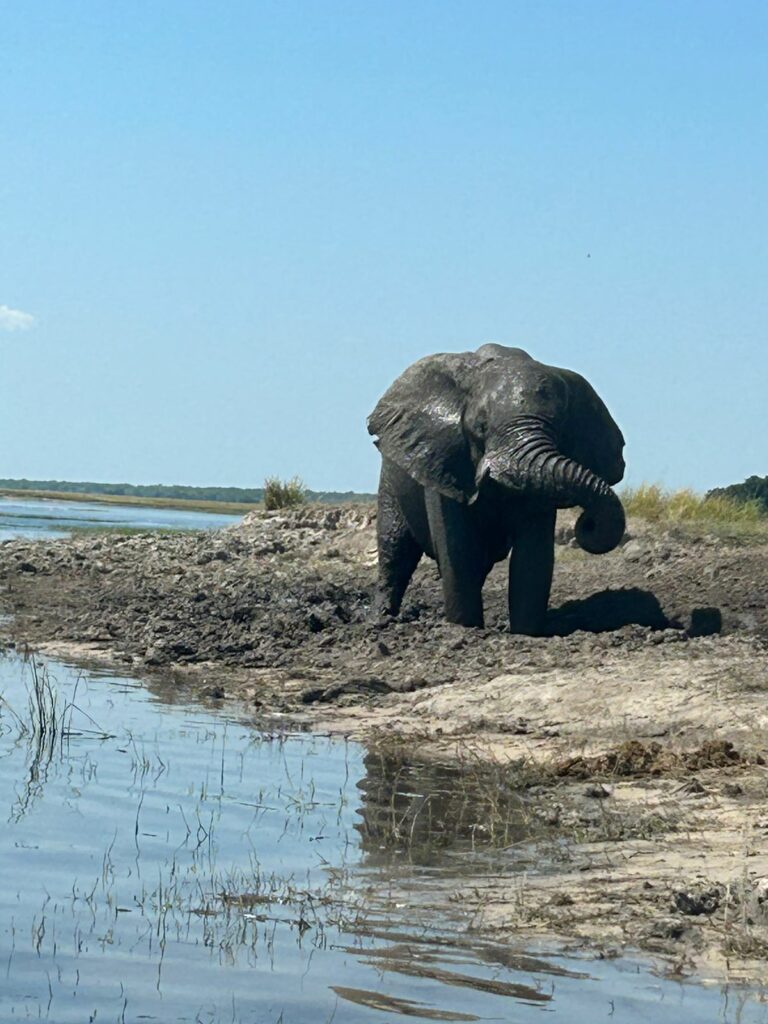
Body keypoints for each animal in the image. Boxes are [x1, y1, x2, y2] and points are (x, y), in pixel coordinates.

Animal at [367, 344, 626, 635]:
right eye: (480, 426)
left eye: (560, 427)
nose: (587, 523)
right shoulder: (445, 461)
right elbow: (458, 549)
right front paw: (464, 629)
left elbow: (533, 556)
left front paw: (526, 634)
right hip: (390, 474)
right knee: (395, 547)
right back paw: (381, 621)